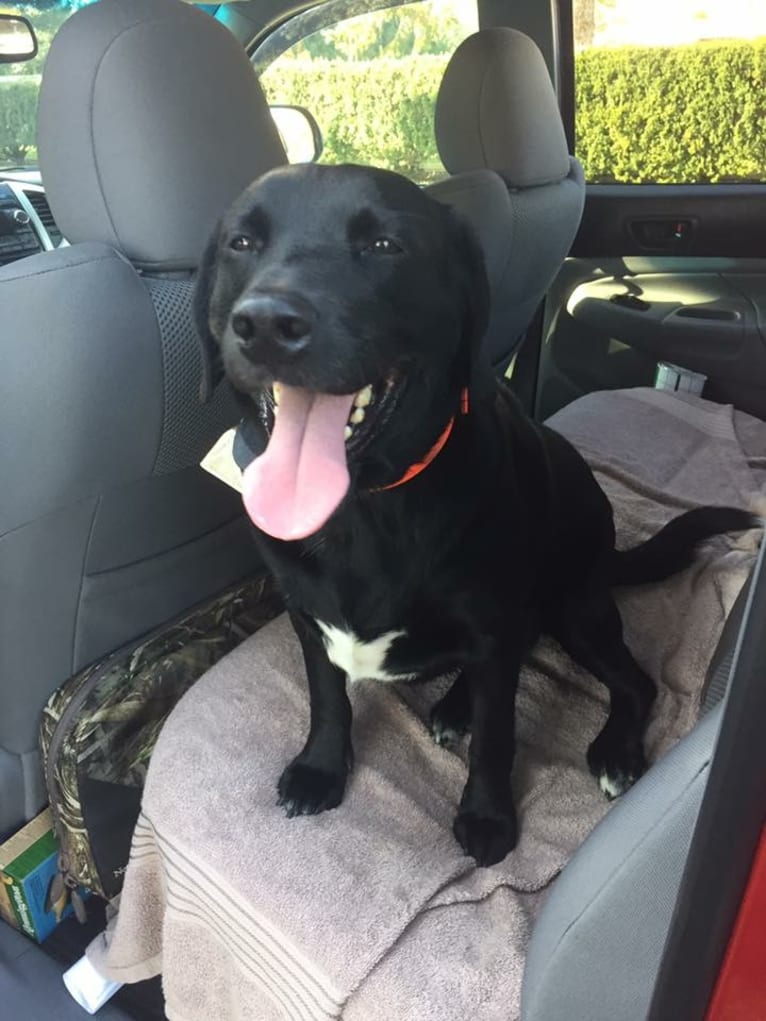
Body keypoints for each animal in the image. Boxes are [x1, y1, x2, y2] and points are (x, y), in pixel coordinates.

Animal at [195, 163, 759, 865]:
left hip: (575, 608)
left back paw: (612, 752)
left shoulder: (491, 631)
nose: (268, 324)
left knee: (634, 681)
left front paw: (488, 815)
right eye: (241, 243)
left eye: (384, 246)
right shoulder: (306, 615)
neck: (362, 511)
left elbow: (497, 736)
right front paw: (320, 768)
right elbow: (328, 699)